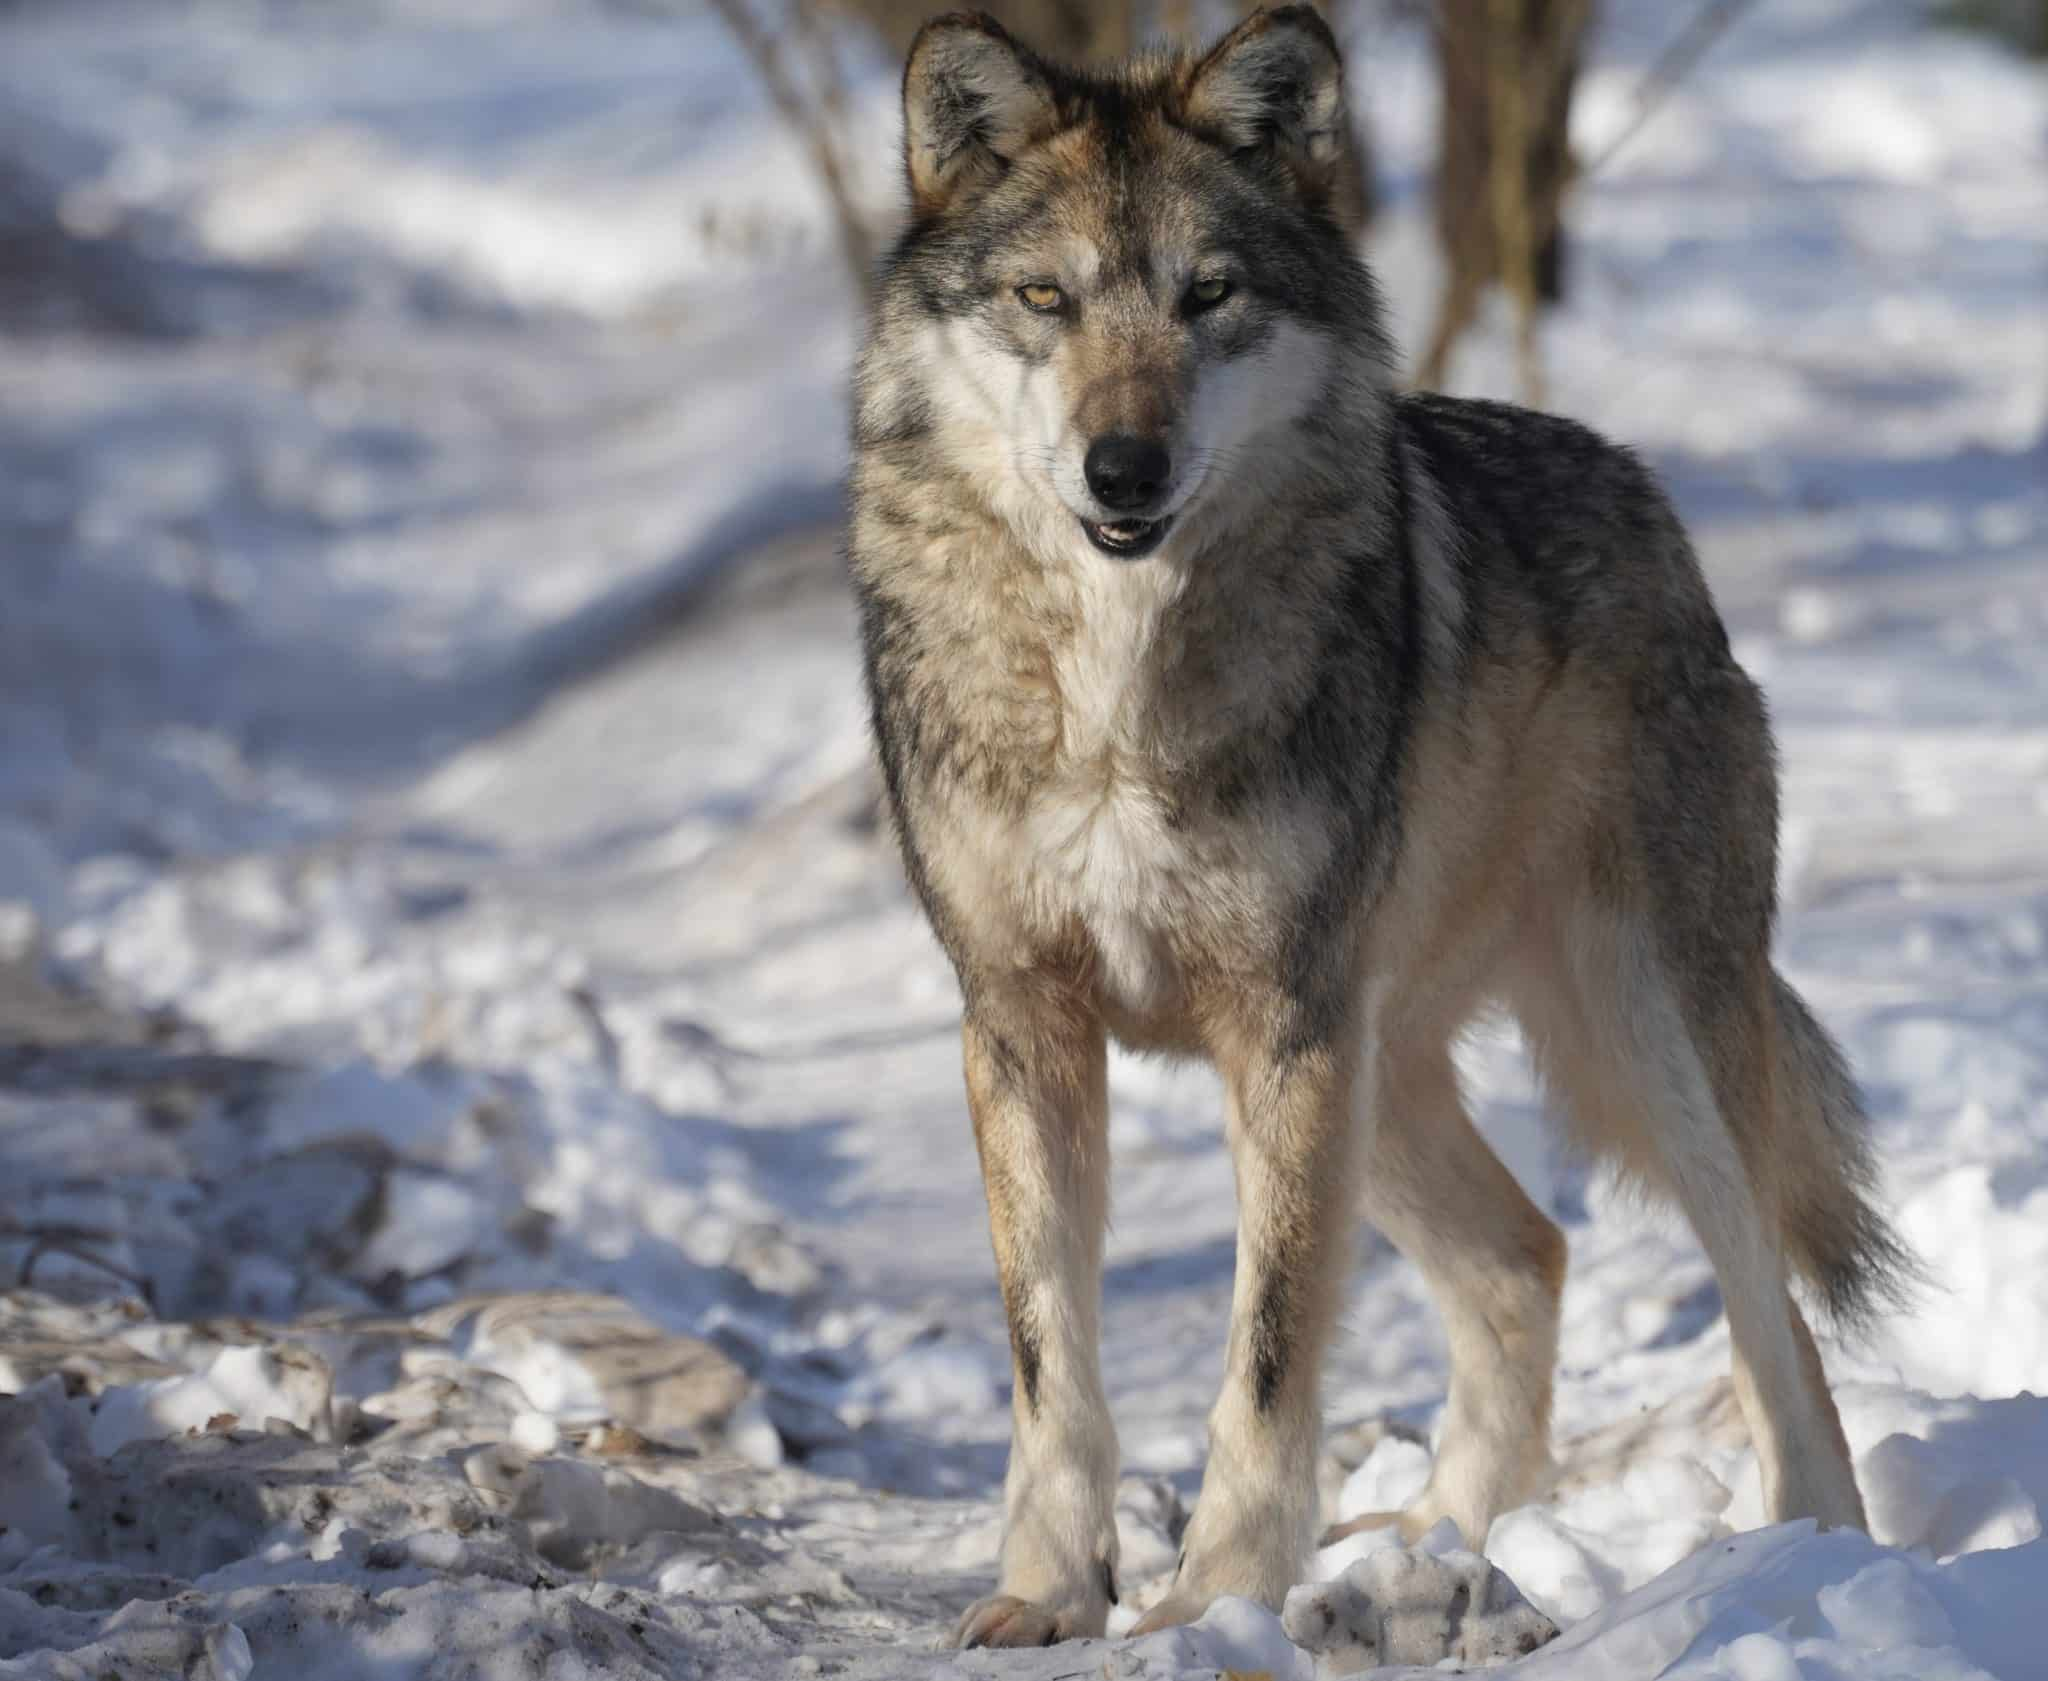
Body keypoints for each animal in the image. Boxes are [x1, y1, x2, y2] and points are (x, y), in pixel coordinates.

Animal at [848, 6, 1910, 1648]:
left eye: (1208, 296)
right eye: (1046, 299)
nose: (1123, 468)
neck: (1110, 689)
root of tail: (1657, 510)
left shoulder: (1283, 1028)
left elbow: (1270, 1350)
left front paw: (1218, 1601)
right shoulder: (1020, 1023)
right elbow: (1048, 1360)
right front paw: (1046, 1593)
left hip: (1626, 1041)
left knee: (1769, 1315)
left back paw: (1803, 1563)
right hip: (1385, 1082)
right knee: (1527, 1259)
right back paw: (1443, 1548)